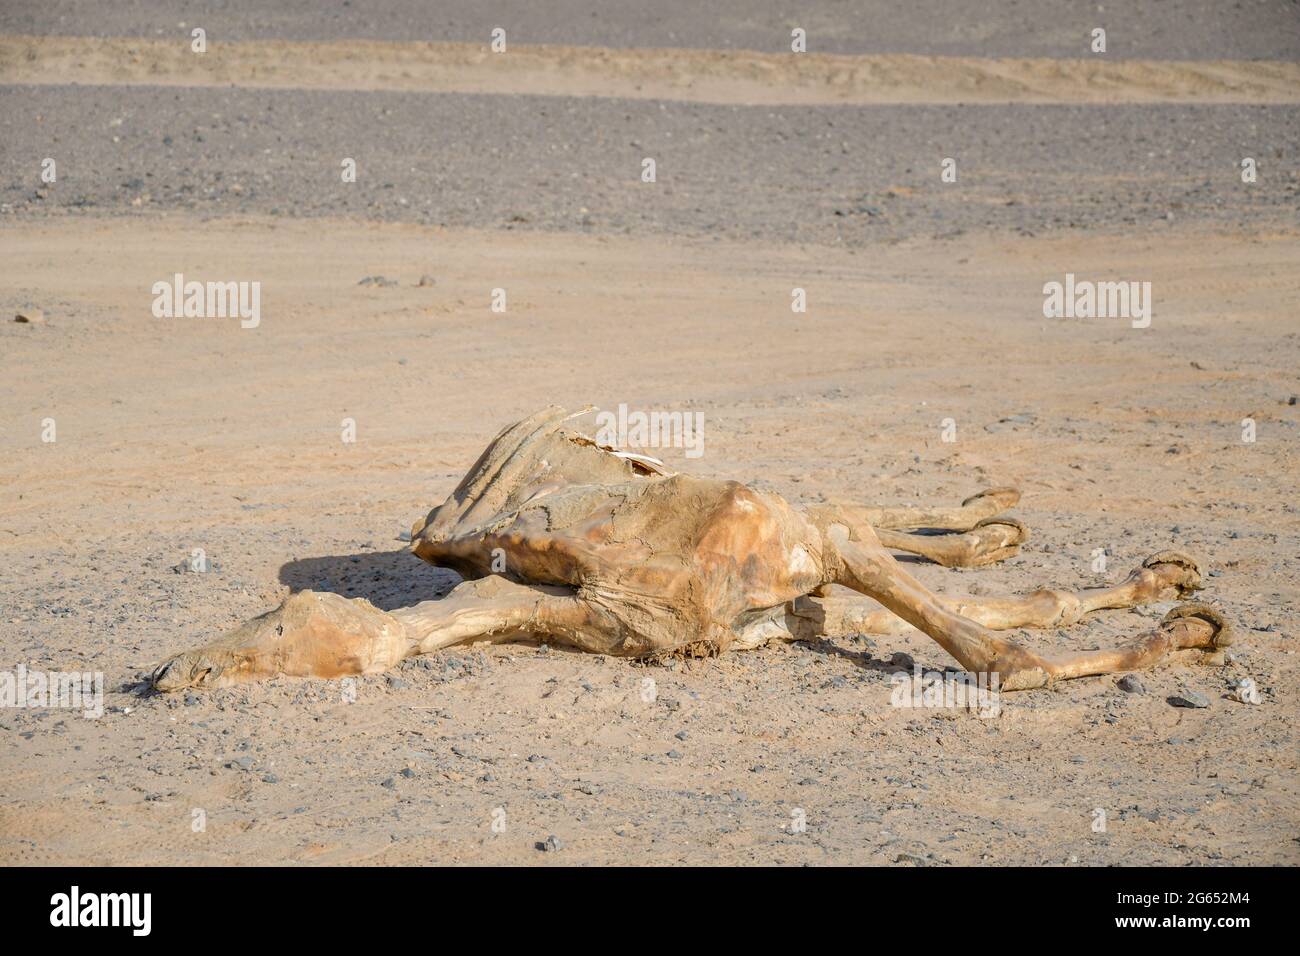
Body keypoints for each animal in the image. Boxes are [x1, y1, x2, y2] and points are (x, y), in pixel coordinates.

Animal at [151, 406, 1232, 694]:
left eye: (274, 623)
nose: (173, 670)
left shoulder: (796, 557)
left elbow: (1002, 657)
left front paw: (1181, 633)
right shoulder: (787, 608)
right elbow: (1005, 623)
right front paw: (1173, 612)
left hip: (777, 524)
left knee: (845, 512)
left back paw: (998, 515)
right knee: (857, 524)